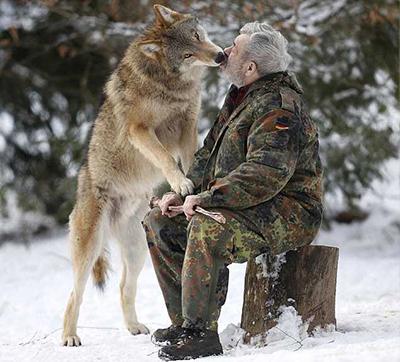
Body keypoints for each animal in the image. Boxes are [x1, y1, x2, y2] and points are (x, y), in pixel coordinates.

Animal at [62, 4, 225, 346]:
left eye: (197, 36)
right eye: (188, 54)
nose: (219, 56)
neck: (170, 85)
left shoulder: (188, 124)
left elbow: (190, 157)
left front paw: (191, 186)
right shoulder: (140, 130)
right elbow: (165, 158)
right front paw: (180, 182)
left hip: (137, 250)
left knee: (125, 287)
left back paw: (134, 327)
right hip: (89, 250)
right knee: (75, 295)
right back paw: (69, 337)